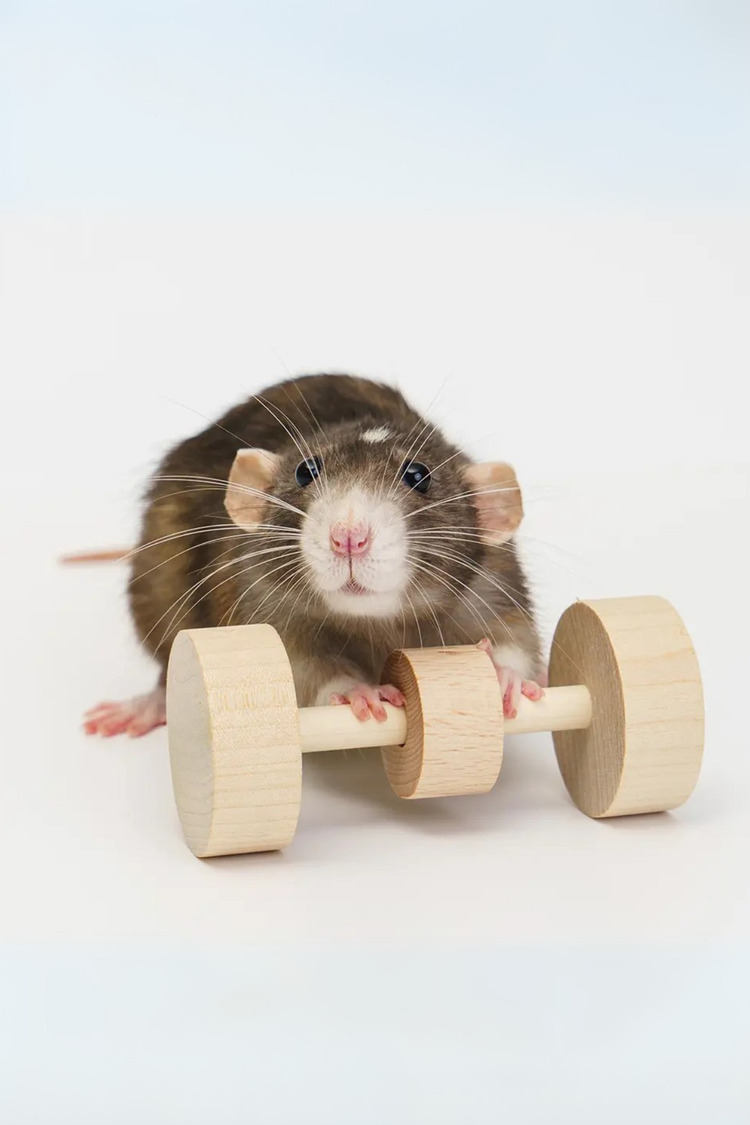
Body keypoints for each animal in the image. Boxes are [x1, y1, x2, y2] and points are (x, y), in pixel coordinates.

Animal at [84, 373, 544, 737]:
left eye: (419, 476)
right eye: (306, 471)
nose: (348, 537)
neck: (373, 623)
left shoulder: (494, 580)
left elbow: (517, 636)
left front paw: (504, 676)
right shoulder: (261, 601)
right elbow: (301, 671)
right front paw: (356, 690)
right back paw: (149, 704)